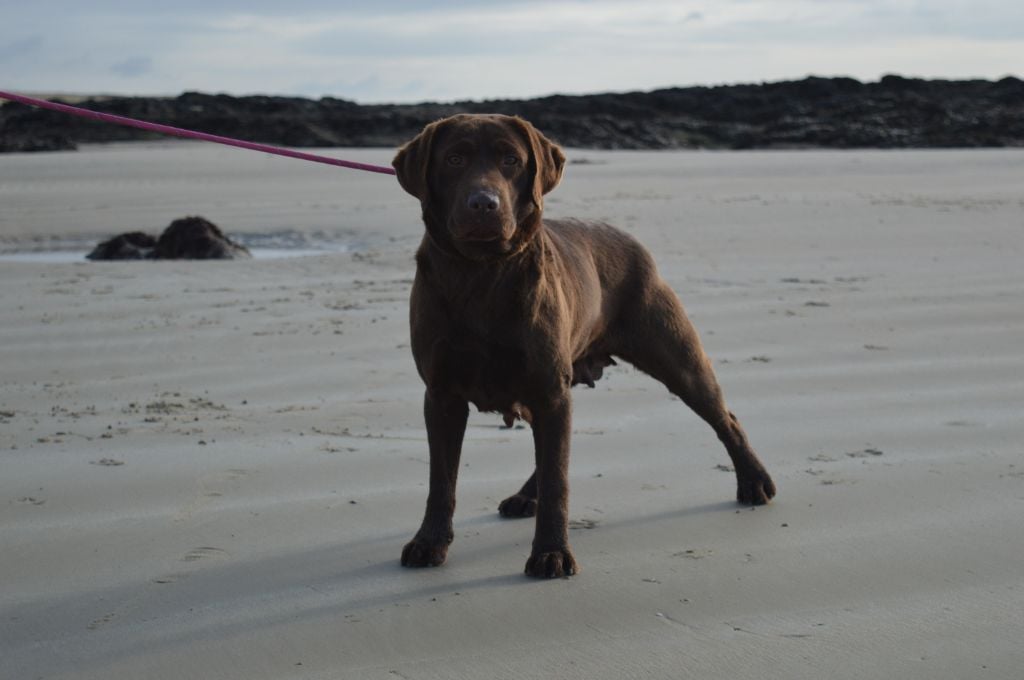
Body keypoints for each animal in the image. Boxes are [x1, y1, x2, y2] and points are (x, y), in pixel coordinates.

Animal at [391, 112, 774, 577]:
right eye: (454, 159)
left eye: (511, 160)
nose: (484, 204)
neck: (482, 274)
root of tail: (631, 240)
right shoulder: (442, 394)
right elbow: (441, 479)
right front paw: (429, 542)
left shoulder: (548, 389)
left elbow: (558, 478)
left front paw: (551, 552)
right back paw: (526, 495)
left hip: (675, 357)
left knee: (724, 418)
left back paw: (754, 481)